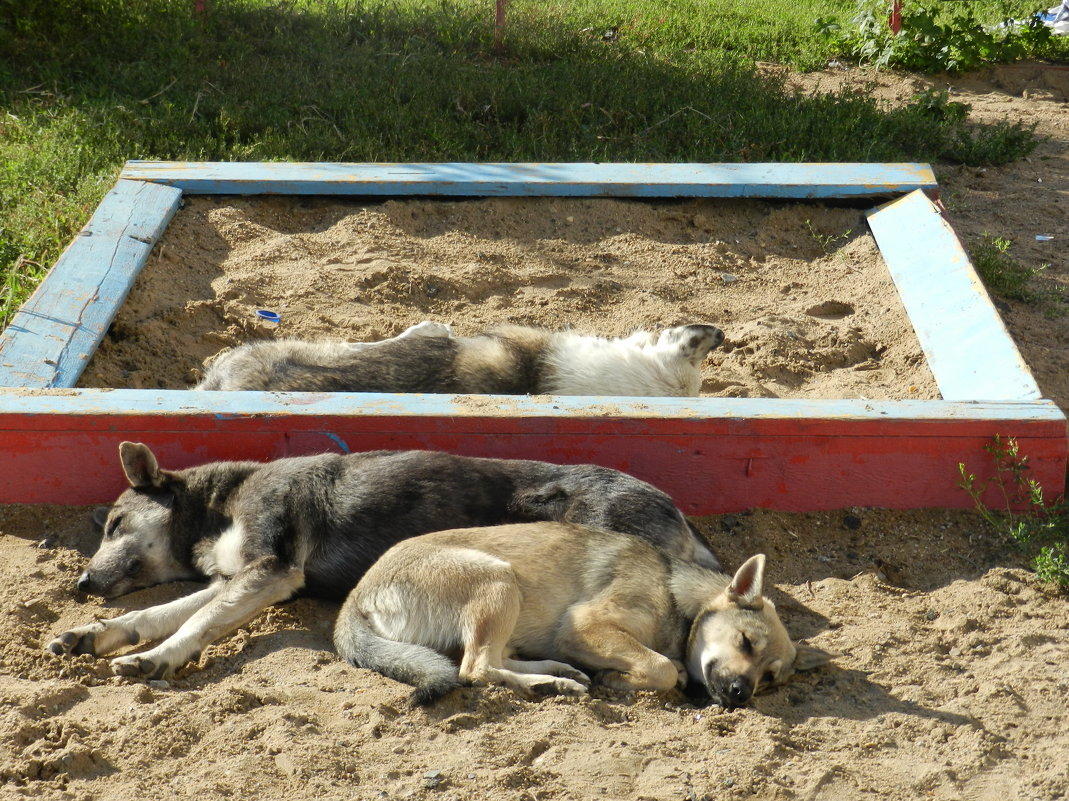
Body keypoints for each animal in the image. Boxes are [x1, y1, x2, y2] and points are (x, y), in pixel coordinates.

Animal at [50, 440, 718, 680]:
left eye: (115, 525)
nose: (80, 582)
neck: (221, 505)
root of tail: (677, 512)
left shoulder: (269, 570)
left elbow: (192, 622)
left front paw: (156, 658)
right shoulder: (239, 578)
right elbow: (159, 612)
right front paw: (94, 634)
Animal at [333, 521, 825, 701]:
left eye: (769, 679)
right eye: (745, 642)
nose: (741, 694)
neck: (676, 598)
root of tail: (356, 597)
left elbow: (664, 667)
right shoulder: (585, 625)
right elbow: (662, 667)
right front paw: (622, 679)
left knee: (491, 660)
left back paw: (558, 674)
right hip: (499, 580)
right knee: (475, 668)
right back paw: (551, 682)